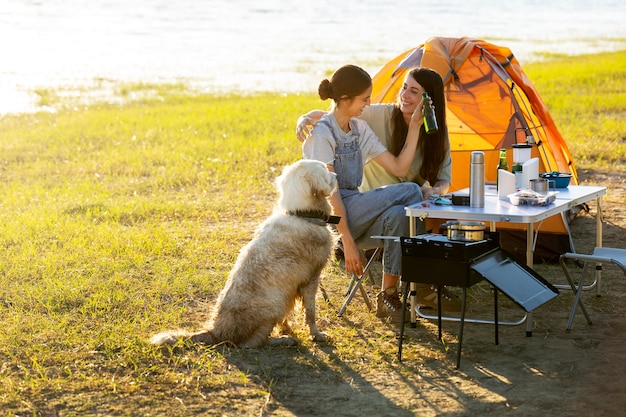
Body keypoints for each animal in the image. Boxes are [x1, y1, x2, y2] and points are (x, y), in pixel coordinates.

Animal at [150, 159, 336, 348]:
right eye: (323, 168)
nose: (335, 173)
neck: (301, 214)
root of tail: (216, 332)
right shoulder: (312, 279)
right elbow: (311, 312)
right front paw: (316, 334)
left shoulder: (292, 289)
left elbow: (289, 313)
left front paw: (287, 327)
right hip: (273, 306)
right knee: (252, 343)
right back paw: (284, 340)